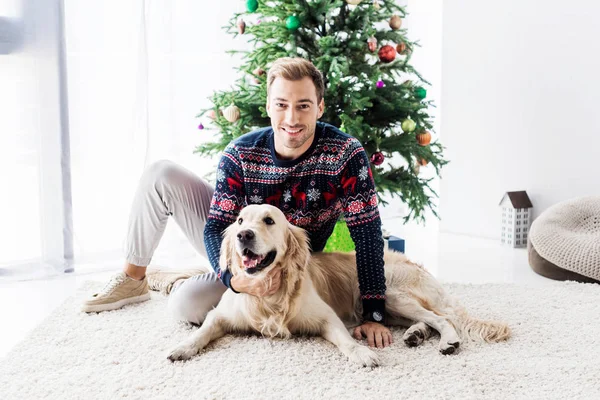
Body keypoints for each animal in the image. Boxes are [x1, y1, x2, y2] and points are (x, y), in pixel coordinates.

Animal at [169, 206, 510, 366]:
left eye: (269, 220)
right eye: (240, 221)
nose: (243, 236)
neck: (269, 294)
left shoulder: (326, 317)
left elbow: (345, 341)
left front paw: (362, 354)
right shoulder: (220, 316)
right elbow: (202, 331)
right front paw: (182, 347)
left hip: (386, 292)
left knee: (443, 318)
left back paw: (448, 341)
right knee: (428, 320)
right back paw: (415, 334)